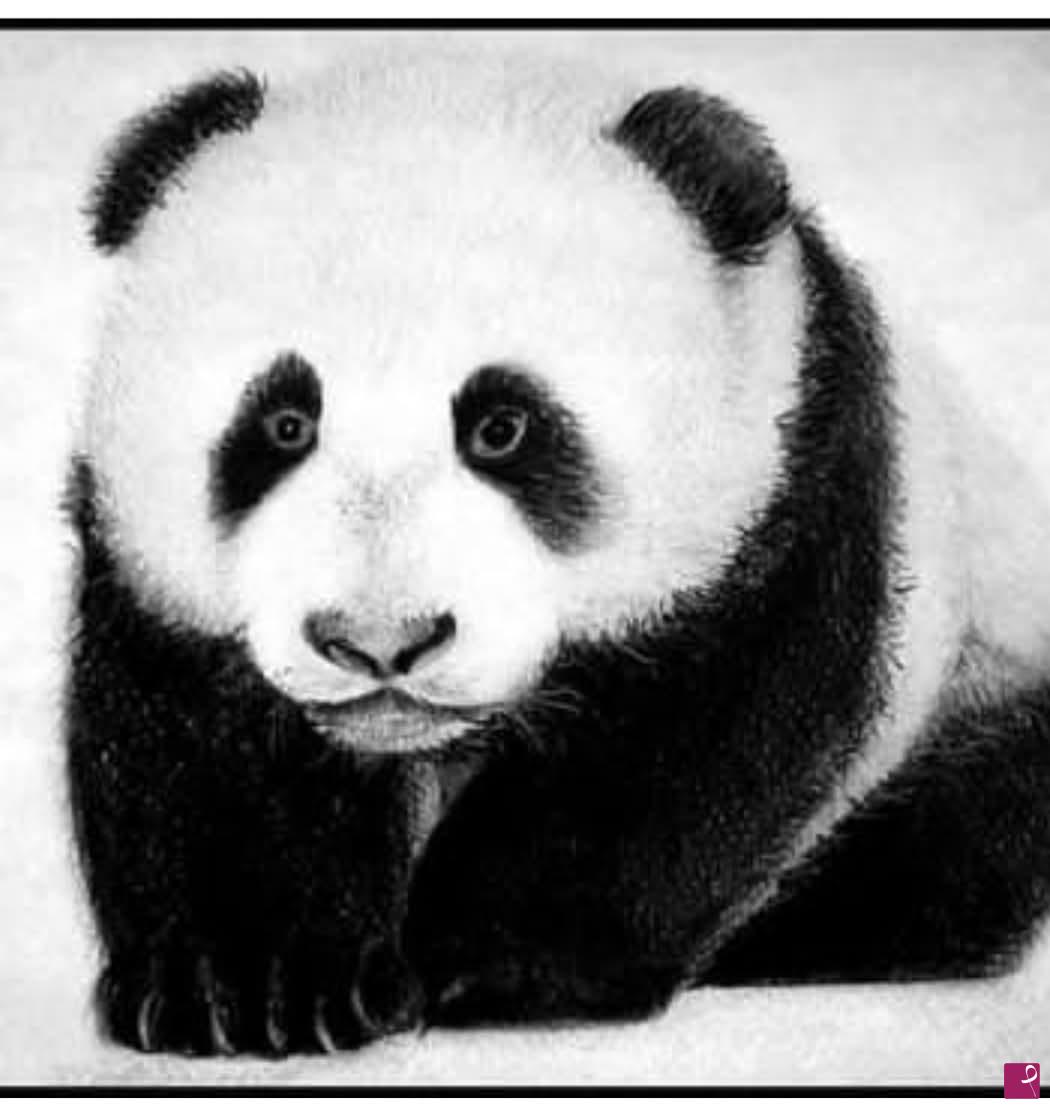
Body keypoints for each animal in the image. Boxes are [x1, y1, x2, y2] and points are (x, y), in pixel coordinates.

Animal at [66, 51, 1050, 1057]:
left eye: (503, 426)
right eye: (283, 422)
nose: (381, 642)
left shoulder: (794, 485)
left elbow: (677, 751)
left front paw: (490, 963)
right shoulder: (152, 583)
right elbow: (206, 747)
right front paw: (251, 988)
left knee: (951, 830)